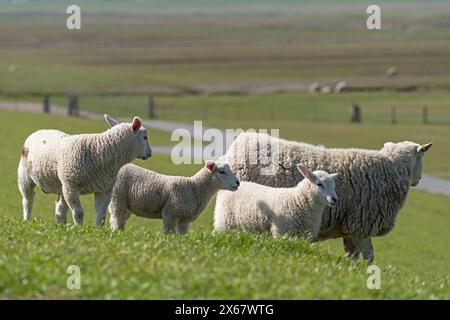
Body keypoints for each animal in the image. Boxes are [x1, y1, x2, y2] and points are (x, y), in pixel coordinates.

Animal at [17, 114, 152, 226]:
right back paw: (27, 220)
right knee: (28, 200)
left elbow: (101, 216)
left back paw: (61, 226)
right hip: (26, 177)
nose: (150, 153)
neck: (100, 151)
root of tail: (40, 131)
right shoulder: (72, 186)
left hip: (62, 184)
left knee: (60, 208)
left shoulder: (104, 189)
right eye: (145, 137)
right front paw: (79, 229)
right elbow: (78, 213)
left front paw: (98, 231)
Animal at [108, 161, 241, 234]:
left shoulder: (184, 220)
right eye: (222, 171)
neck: (194, 188)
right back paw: (117, 234)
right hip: (117, 199)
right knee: (117, 220)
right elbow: (170, 234)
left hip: (126, 205)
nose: (238, 183)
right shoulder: (170, 214)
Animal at [221, 131, 432, 262]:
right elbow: (369, 256)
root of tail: (237, 145)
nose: (420, 179)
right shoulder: (361, 224)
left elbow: (352, 257)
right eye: (422, 156)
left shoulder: (349, 227)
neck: (391, 169)